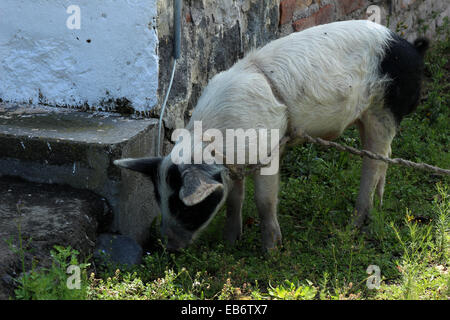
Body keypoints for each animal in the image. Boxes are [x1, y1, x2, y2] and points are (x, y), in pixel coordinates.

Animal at [113, 20, 428, 251]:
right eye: (159, 198)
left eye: (183, 205)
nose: (170, 248)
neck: (215, 146)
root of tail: (412, 49)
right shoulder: (233, 166)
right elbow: (234, 199)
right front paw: (230, 243)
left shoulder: (268, 151)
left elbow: (264, 200)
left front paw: (270, 251)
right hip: (366, 117)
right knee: (384, 157)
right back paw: (378, 206)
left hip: (384, 109)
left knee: (373, 163)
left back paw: (354, 226)